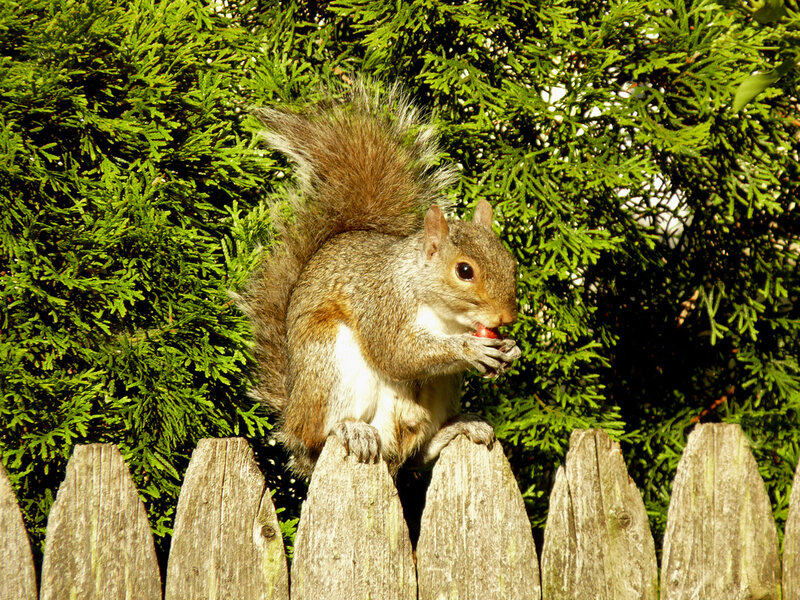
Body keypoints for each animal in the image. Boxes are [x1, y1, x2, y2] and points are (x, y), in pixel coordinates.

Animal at [239, 81, 522, 478]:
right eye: (464, 271)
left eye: (511, 263)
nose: (507, 317)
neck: (443, 314)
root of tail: (293, 411)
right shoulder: (381, 301)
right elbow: (395, 352)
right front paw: (468, 348)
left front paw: (510, 350)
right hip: (332, 364)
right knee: (321, 439)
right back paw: (350, 430)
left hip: (441, 387)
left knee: (416, 452)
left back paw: (459, 428)